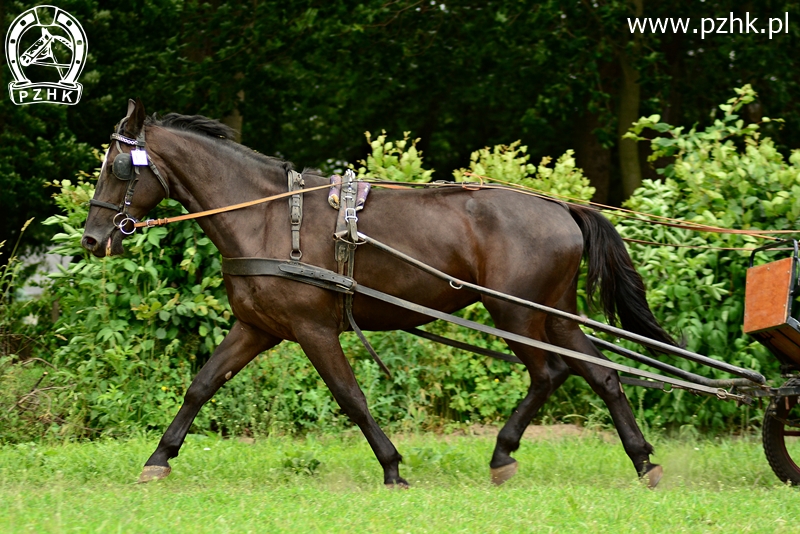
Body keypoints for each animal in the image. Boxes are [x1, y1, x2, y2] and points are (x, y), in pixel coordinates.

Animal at [83, 99, 676, 490]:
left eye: (118, 167)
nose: (92, 238)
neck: (269, 217)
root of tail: (562, 208)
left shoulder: (313, 329)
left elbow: (351, 397)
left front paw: (391, 467)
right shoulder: (257, 327)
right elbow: (202, 386)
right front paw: (159, 458)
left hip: (515, 313)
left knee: (551, 372)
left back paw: (509, 454)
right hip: (552, 314)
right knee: (599, 374)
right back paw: (640, 460)